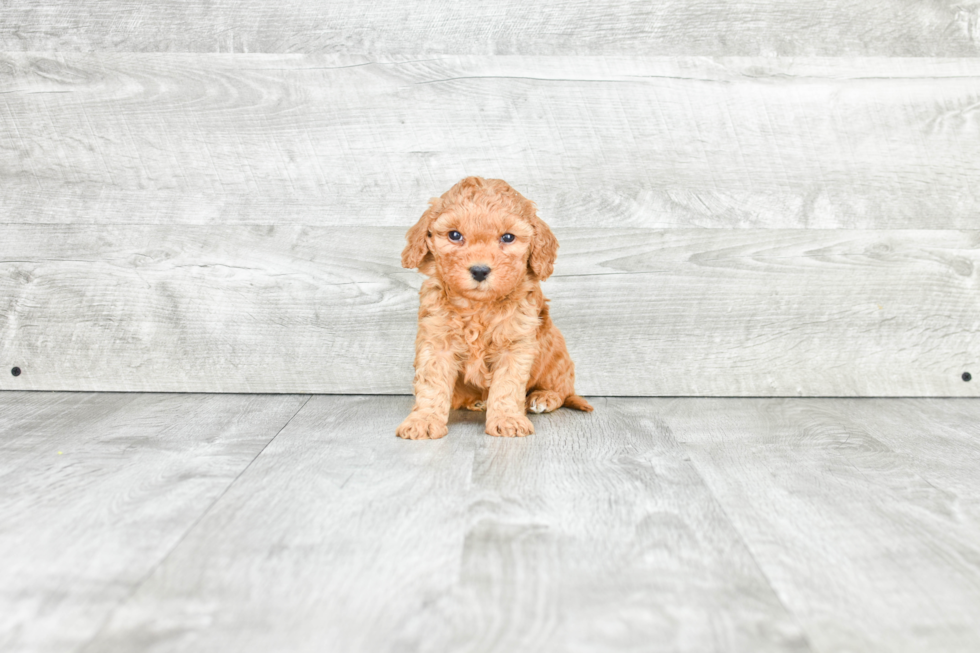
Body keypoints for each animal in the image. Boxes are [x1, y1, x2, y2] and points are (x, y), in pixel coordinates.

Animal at [396, 177, 588, 438]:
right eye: (454, 235)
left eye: (507, 238)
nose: (479, 270)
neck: (478, 307)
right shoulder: (436, 341)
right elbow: (431, 384)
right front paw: (423, 420)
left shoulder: (515, 344)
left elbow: (507, 385)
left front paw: (508, 420)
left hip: (557, 354)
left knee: (562, 389)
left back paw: (543, 397)